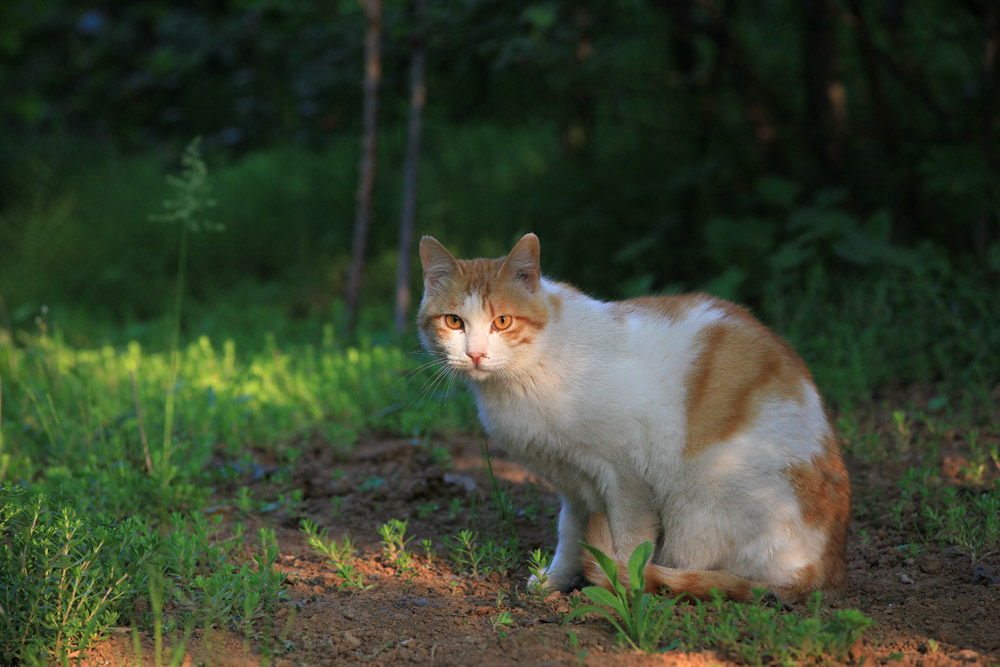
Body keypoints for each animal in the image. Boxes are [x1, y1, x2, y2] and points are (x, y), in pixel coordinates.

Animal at [418, 234, 848, 600]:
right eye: (454, 321)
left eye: (502, 322)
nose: (475, 354)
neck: (527, 373)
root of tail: (825, 569)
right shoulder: (573, 484)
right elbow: (569, 534)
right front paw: (556, 580)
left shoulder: (626, 480)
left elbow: (629, 547)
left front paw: (617, 589)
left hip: (704, 503)